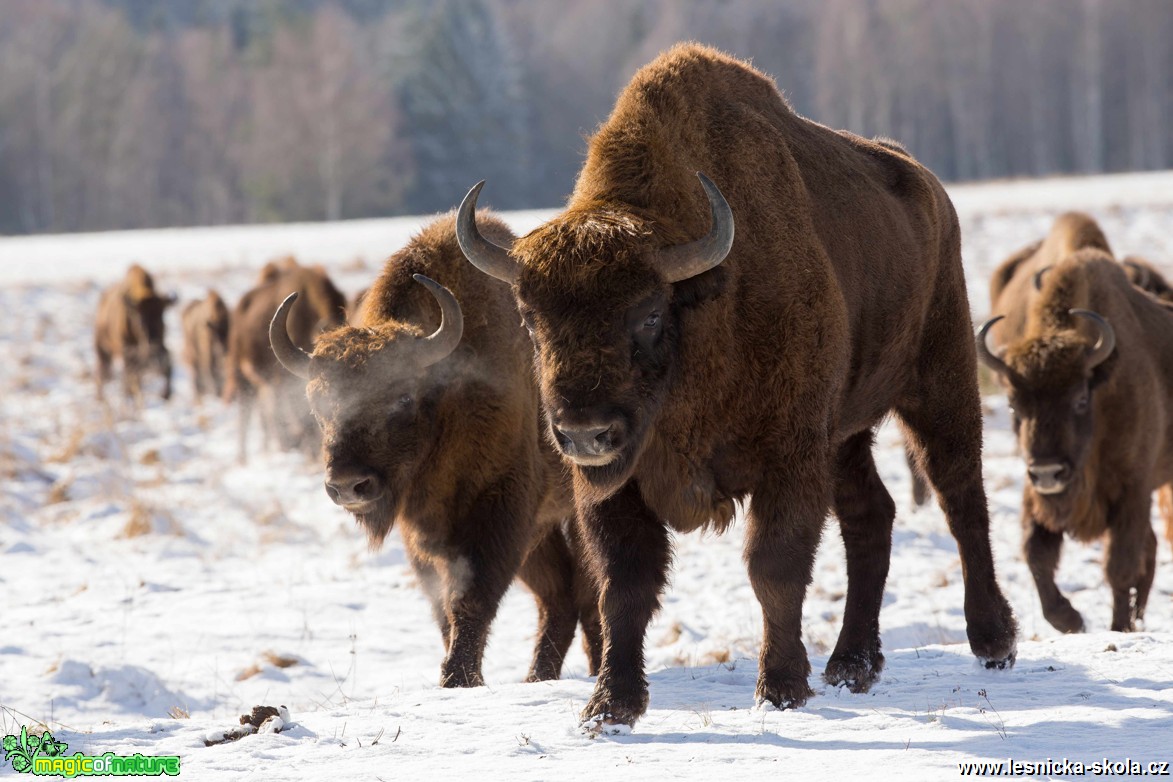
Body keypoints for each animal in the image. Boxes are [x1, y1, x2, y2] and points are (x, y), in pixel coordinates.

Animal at [95, 266, 175, 408]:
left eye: (162, 316)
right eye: (139, 319)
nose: (152, 346)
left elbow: (167, 367)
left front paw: (165, 395)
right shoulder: (127, 351)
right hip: (102, 348)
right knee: (102, 372)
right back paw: (101, 399)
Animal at [269, 214, 600, 689]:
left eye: (403, 397)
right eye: (317, 403)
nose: (348, 485)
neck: (445, 396)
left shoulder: (498, 511)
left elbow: (472, 596)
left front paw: (457, 678)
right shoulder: (423, 534)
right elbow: (444, 606)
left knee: (586, 592)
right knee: (559, 596)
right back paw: (540, 678)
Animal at [457, 42, 1018, 731]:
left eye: (649, 313)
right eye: (531, 318)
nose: (586, 431)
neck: (703, 305)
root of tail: (931, 189)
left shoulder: (790, 455)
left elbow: (773, 567)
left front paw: (779, 687)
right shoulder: (613, 486)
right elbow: (624, 582)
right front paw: (610, 706)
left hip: (938, 382)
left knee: (961, 496)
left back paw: (993, 641)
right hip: (845, 436)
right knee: (872, 516)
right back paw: (851, 666)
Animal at [971, 250, 1173, 637]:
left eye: (1080, 398)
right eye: (1014, 404)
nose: (1048, 473)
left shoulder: (1133, 491)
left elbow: (1119, 565)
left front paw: (1118, 627)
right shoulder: (1035, 496)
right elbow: (1036, 554)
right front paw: (1070, 619)